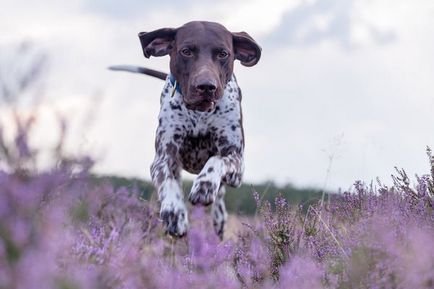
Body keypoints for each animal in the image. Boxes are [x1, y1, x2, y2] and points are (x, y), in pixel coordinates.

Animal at [112, 20, 262, 238]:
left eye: (223, 53)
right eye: (186, 51)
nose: (206, 86)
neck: (199, 113)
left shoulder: (236, 164)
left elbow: (216, 161)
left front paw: (204, 186)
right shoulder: (163, 159)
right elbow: (168, 184)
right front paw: (174, 214)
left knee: (219, 198)